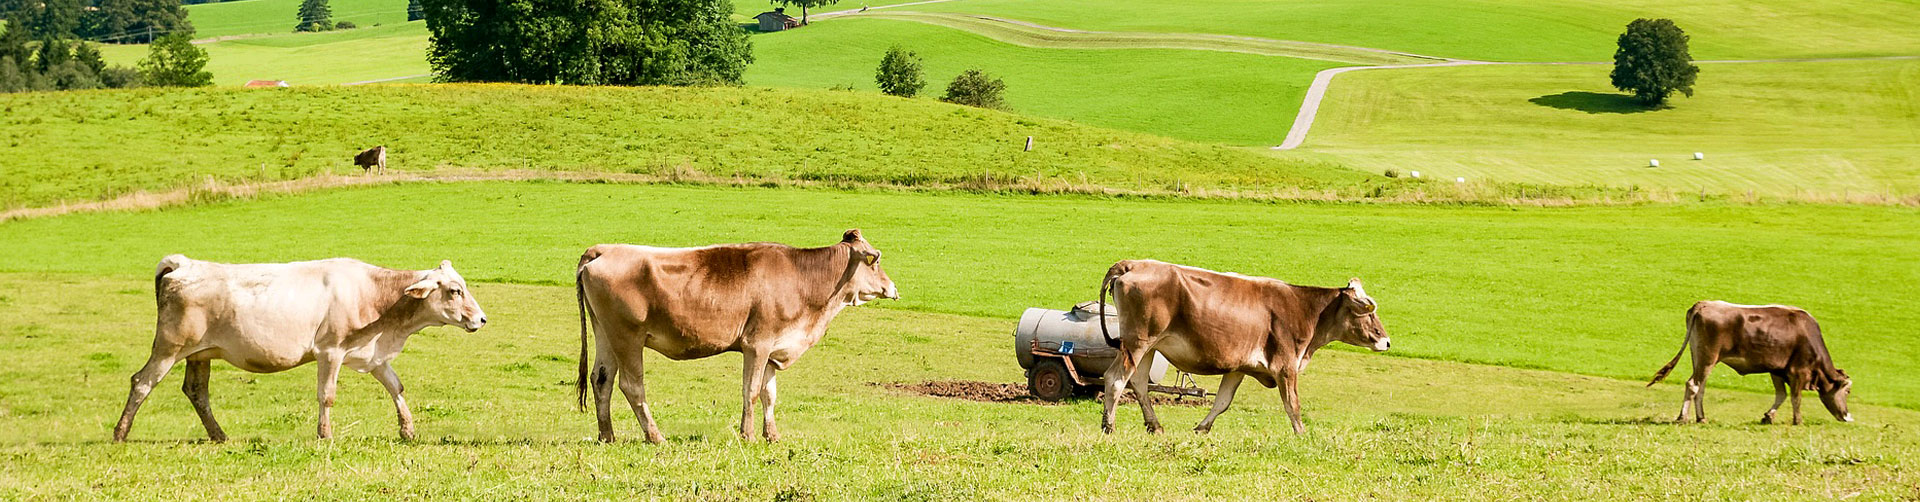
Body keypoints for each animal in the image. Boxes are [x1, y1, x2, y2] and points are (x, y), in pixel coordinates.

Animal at [114, 255, 487, 440]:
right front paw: (325, 434)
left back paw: (218, 435)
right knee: (142, 382)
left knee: (196, 391)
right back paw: (120, 433)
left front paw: (407, 431)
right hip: (169, 347)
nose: (481, 319)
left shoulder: (373, 355)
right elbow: (327, 395)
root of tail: (183, 264)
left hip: (198, 354)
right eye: (454, 290)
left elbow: (396, 387)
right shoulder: (330, 350)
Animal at [576, 228, 898, 440]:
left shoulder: (772, 348)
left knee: (601, 380)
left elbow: (769, 394)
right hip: (627, 338)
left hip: (606, 334)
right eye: (876, 260)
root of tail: (603, 249)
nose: (893, 288)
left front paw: (772, 435)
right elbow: (751, 391)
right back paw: (655, 437)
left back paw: (607, 436)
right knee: (632, 386)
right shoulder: (757, 344)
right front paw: (749, 435)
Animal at [1098, 259, 1397, 430]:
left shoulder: (1238, 368)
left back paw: (1154, 425)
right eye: (1368, 312)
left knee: (1138, 384)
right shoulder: (1285, 367)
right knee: (1115, 380)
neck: (1305, 309)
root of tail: (1133, 264)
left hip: (1148, 347)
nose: (1387, 341)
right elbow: (1293, 405)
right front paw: (1301, 435)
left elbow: (1222, 402)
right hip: (1137, 343)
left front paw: (1202, 428)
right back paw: (1109, 426)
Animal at [1643, 300, 1850, 421]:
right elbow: (1795, 398)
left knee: (1700, 387)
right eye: (1847, 391)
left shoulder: (1776, 370)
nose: (1847, 416)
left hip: (1700, 358)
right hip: (1707, 358)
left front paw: (1768, 416)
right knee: (1693, 384)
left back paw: (1701, 417)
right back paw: (1682, 417)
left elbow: (1781, 395)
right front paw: (1797, 421)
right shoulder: (1798, 372)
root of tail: (1703, 304)